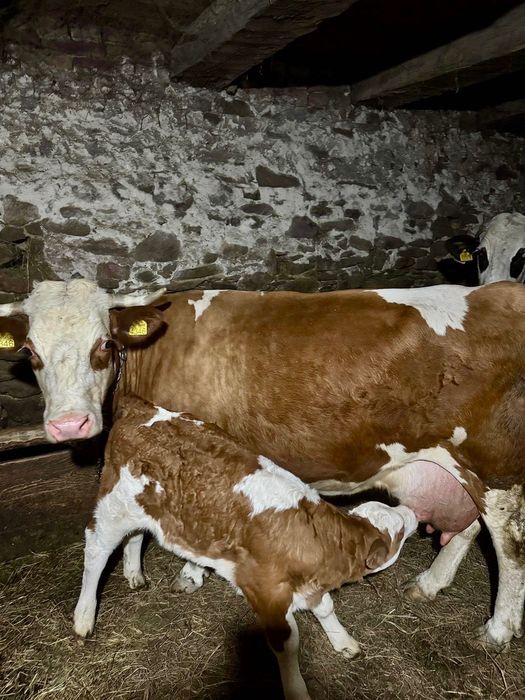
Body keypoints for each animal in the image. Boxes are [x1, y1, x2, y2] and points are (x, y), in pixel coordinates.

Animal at [1, 278, 525, 649]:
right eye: (30, 352)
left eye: (105, 344)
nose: (69, 425)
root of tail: (504, 291)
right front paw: (136, 571)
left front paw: (190, 573)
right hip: (458, 469)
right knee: (469, 527)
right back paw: (431, 583)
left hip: (498, 470)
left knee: (508, 546)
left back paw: (497, 630)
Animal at [74, 395, 417, 700]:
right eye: (399, 532)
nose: (412, 512)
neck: (320, 540)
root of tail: (142, 407)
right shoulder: (266, 592)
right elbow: (288, 643)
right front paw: (297, 690)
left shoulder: (310, 585)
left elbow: (326, 607)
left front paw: (344, 641)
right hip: (112, 507)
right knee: (96, 550)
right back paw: (84, 617)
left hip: (140, 508)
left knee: (134, 536)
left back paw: (134, 574)